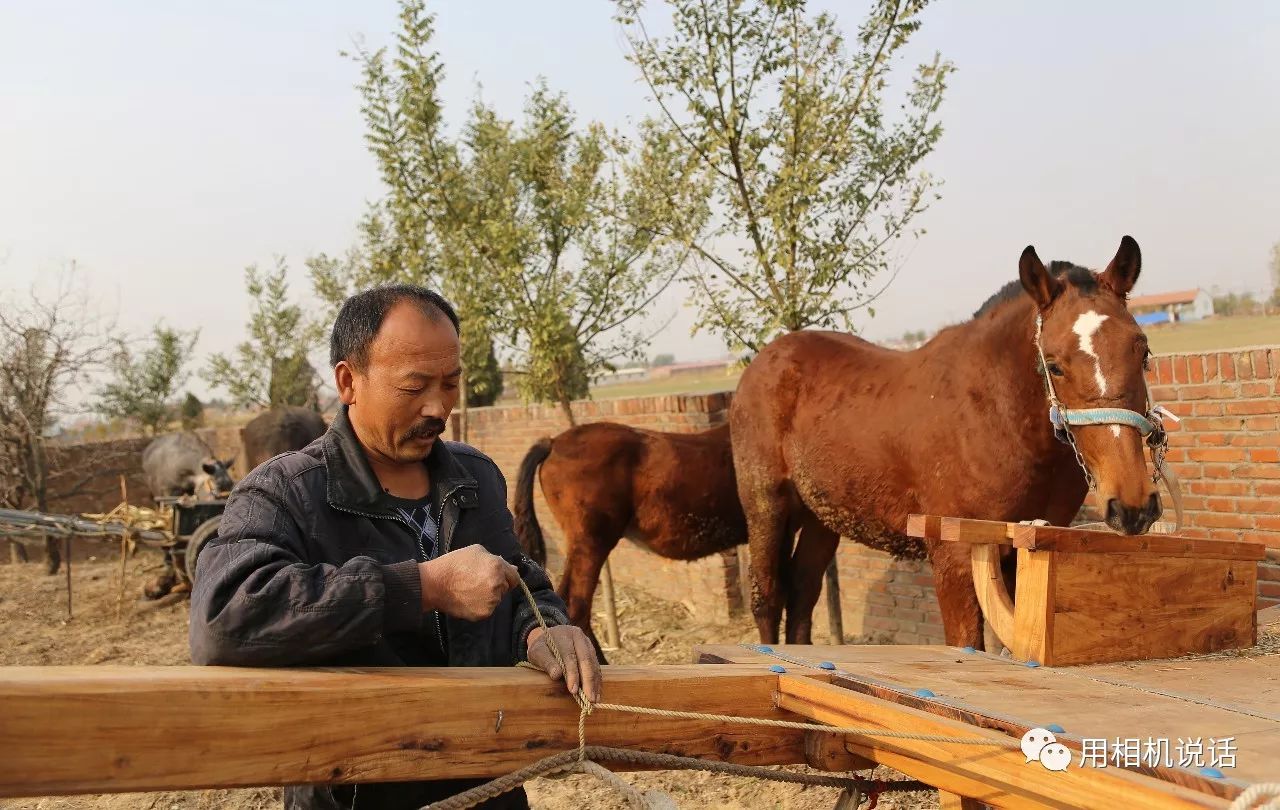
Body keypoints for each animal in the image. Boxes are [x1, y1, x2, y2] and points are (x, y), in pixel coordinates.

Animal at [732, 234, 1162, 644]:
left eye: (1143, 353)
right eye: (1054, 365)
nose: (1133, 505)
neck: (998, 417)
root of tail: (762, 362)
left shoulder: (1021, 552)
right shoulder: (953, 558)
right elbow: (966, 642)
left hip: (823, 517)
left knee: (802, 594)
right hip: (766, 506)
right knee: (767, 598)